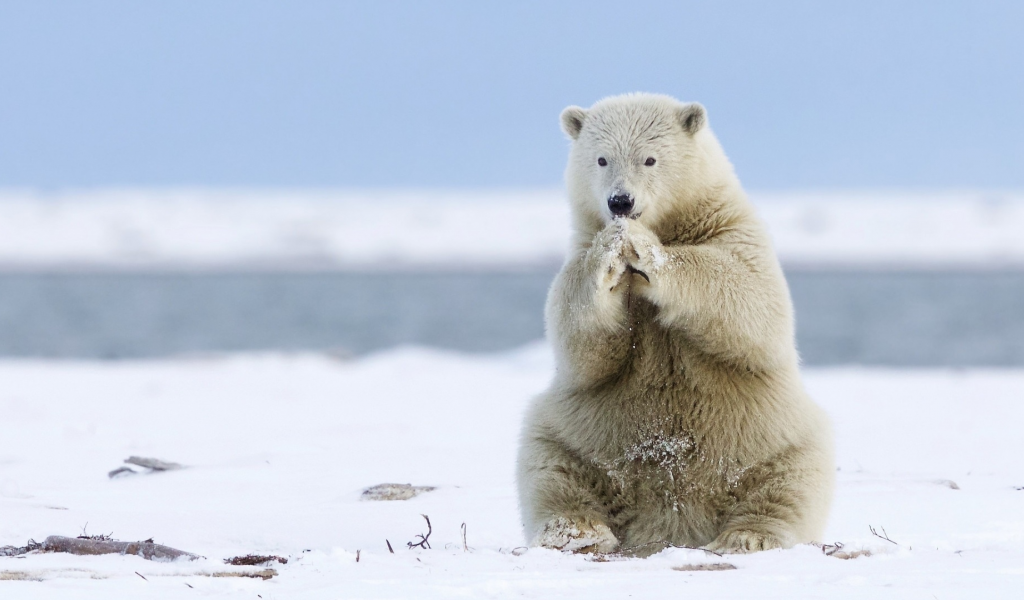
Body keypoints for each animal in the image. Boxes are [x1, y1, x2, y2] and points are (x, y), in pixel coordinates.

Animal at [516, 92, 835, 552]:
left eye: (650, 159)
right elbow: (579, 340)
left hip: (771, 435)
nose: (620, 202)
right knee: (552, 465)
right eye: (601, 158)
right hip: (580, 433)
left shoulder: (733, 231)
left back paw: (748, 535)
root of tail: (670, 524)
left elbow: (750, 298)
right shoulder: (577, 250)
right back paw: (577, 530)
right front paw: (612, 251)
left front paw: (644, 249)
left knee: (791, 479)